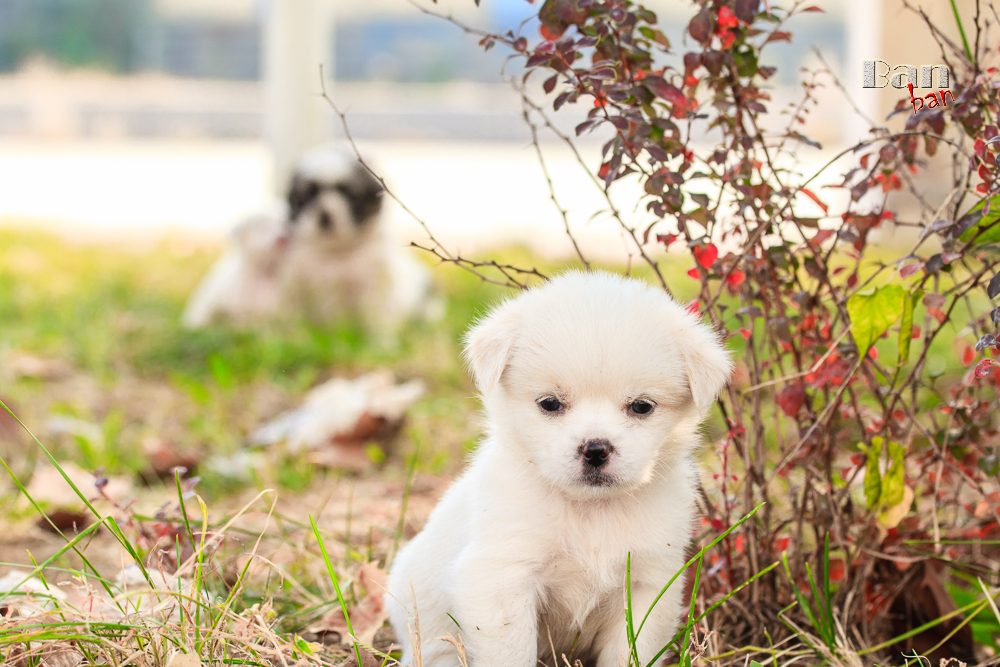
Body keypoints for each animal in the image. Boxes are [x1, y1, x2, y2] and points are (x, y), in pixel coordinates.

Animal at [182, 145, 440, 334]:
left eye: (349, 195)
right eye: (306, 197)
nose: (324, 214)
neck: (336, 253)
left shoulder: (377, 286)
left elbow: (378, 317)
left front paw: (382, 342)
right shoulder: (297, 284)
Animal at [386, 272, 732, 667]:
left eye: (642, 406)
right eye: (550, 403)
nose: (595, 449)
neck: (590, 513)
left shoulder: (647, 586)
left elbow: (631, 652)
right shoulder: (501, 580)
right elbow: (511, 654)